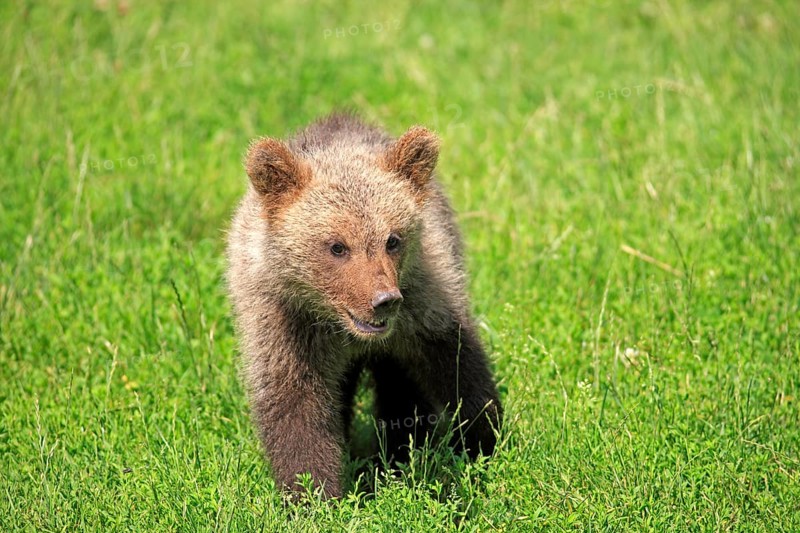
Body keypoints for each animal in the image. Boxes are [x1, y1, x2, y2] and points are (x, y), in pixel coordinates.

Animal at [225, 112, 502, 499]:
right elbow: (295, 402)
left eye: (393, 239)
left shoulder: (424, 301)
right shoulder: (285, 321)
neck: (339, 326)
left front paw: (483, 441)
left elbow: (458, 365)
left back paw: (399, 454)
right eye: (337, 246)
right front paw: (314, 492)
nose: (383, 300)